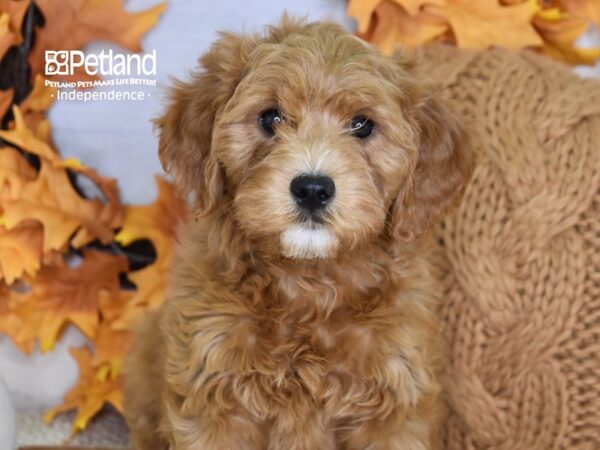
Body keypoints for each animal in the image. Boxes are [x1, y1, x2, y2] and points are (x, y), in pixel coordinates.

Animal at [124, 16, 474, 450]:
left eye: (362, 125)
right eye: (270, 118)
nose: (312, 188)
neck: (310, 282)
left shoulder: (396, 402)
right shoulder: (211, 391)